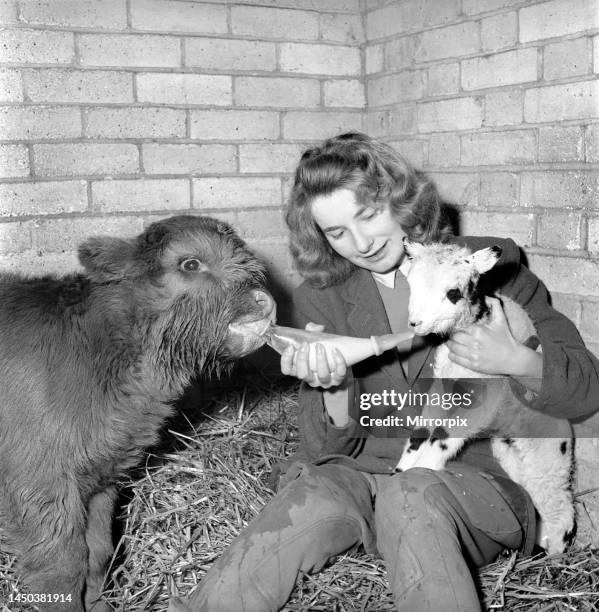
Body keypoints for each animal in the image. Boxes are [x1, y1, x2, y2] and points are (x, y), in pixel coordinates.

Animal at [396, 243, 576, 556]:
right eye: (412, 284)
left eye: (453, 292)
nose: (415, 323)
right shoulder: (443, 386)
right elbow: (422, 431)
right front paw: (401, 469)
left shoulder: (485, 396)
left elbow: (445, 435)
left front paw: (424, 468)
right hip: (512, 452)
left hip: (549, 457)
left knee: (560, 508)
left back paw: (554, 554)